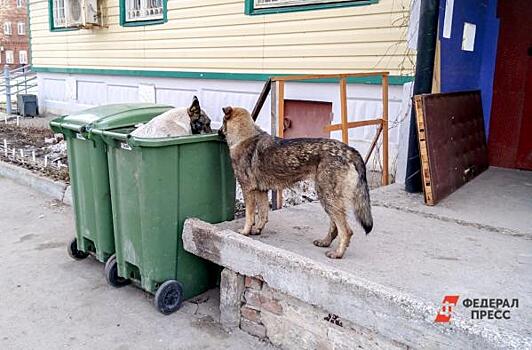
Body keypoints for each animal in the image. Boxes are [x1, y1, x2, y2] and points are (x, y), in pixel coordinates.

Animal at [218, 106, 372, 260]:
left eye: (222, 122)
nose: (218, 132)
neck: (245, 137)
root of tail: (350, 151)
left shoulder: (248, 190)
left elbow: (249, 216)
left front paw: (245, 232)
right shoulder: (261, 191)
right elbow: (263, 214)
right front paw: (257, 229)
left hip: (327, 197)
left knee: (346, 231)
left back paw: (338, 253)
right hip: (330, 200)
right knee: (335, 227)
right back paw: (325, 242)